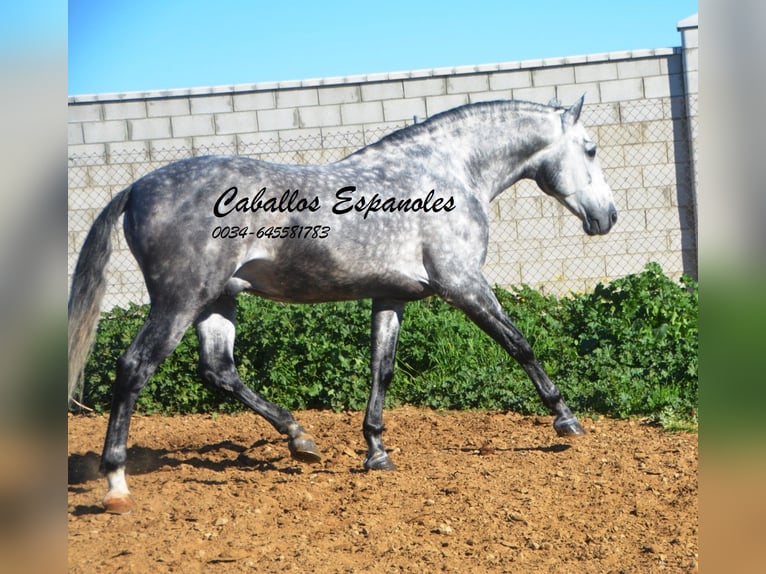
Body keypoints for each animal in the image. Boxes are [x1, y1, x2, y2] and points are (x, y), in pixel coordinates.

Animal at [67, 97, 616, 516]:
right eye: (590, 148)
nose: (607, 217)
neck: (448, 171)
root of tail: (136, 188)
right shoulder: (461, 283)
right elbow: (519, 344)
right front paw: (566, 421)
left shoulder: (392, 295)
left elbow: (381, 368)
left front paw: (376, 451)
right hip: (181, 299)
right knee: (135, 367)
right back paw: (116, 484)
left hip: (217, 300)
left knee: (218, 369)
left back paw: (300, 439)